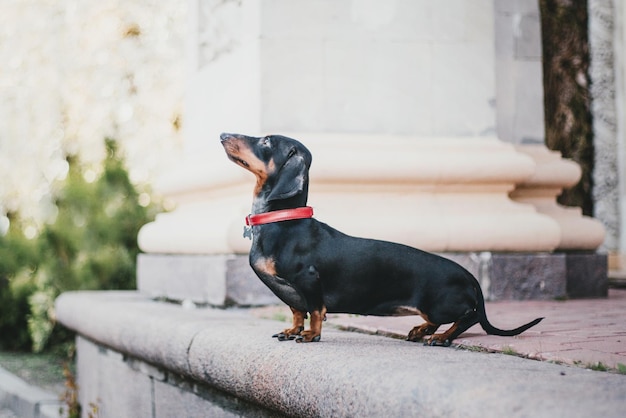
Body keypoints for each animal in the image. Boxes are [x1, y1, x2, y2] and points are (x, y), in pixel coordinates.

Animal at [221, 133, 540, 346]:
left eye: (266, 141)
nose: (223, 134)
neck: (282, 221)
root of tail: (468, 275)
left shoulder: (308, 280)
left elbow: (314, 310)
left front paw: (311, 334)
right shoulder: (290, 293)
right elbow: (297, 310)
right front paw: (293, 330)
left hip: (441, 302)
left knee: (468, 317)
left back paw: (442, 337)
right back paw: (422, 330)